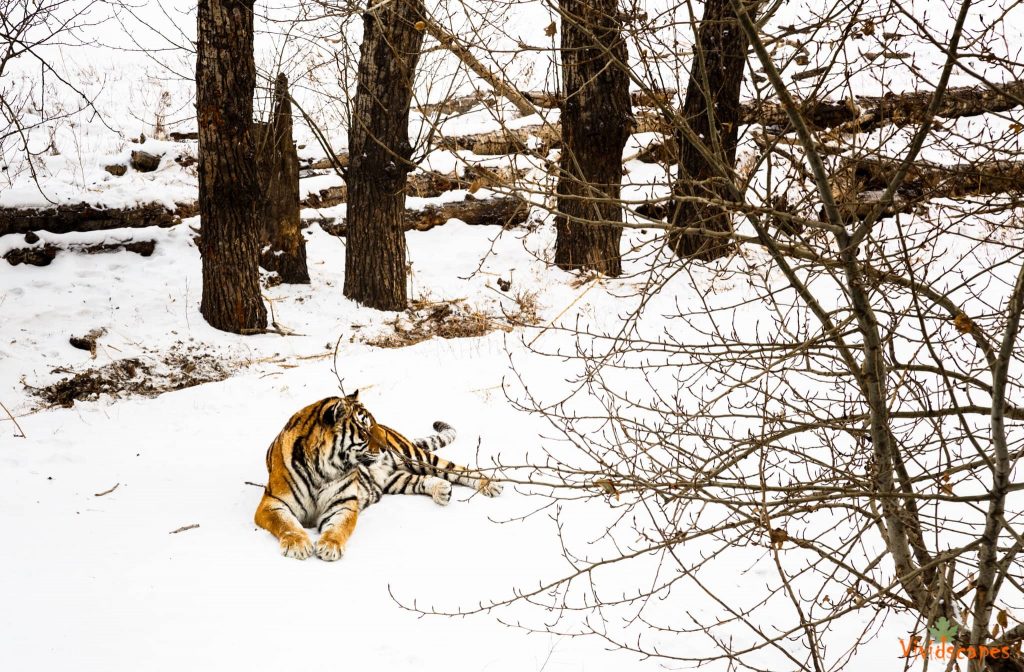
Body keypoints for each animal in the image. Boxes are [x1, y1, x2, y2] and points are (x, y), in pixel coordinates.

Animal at [251, 391, 499, 557]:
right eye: (365, 428)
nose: (385, 446)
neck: (322, 469)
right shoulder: (272, 503)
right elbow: (286, 523)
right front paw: (298, 544)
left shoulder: (343, 504)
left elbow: (339, 527)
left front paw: (330, 546)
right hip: (395, 480)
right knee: (422, 479)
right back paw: (442, 491)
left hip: (415, 456)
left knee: (458, 469)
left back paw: (491, 485)